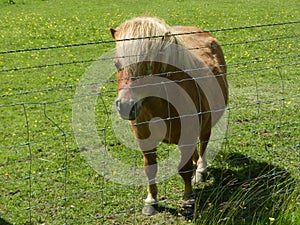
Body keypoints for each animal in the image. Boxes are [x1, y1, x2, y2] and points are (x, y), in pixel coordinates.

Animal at [110, 16, 227, 217]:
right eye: (117, 64)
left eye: (149, 66)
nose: (125, 106)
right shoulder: (145, 139)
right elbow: (150, 168)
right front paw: (151, 201)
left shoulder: (187, 136)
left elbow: (185, 170)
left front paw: (188, 200)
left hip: (206, 124)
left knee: (203, 144)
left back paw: (201, 171)